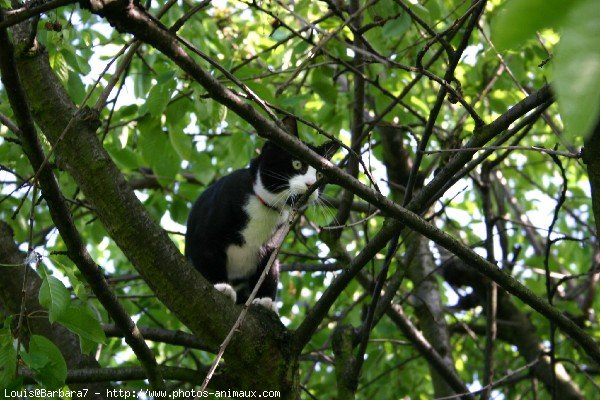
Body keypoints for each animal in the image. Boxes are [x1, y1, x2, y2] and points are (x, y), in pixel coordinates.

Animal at [184, 117, 338, 314]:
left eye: (319, 174)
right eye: (297, 163)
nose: (311, 184)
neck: (266, 207)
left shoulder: (271, 247)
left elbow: (267, 271)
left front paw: (265, 300)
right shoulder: (207, 231)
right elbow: (207, 256)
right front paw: (220, 287)